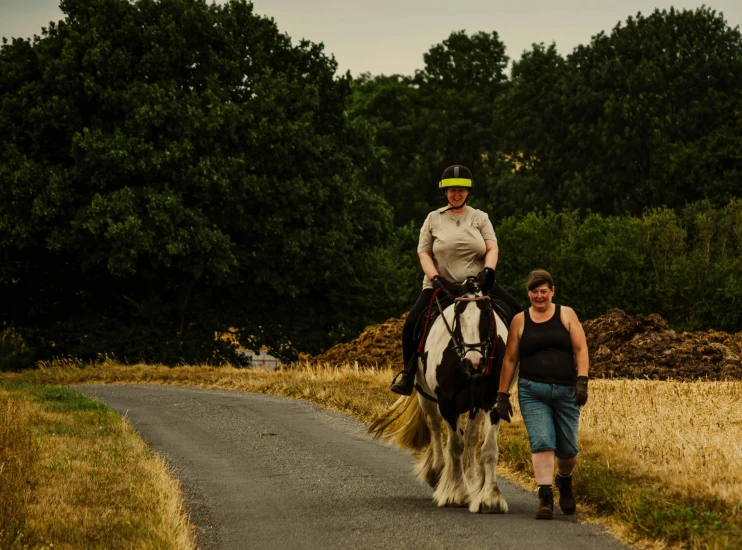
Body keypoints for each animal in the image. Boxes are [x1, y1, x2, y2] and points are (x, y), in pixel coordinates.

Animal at [368, 272, 516, 512]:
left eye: (486, 312)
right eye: (458, 314)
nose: (474, 362)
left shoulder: (492, 401)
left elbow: (488, 449)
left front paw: (490, 497)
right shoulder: (447, 403)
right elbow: (454, 445)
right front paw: (456, 492)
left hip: (475, 405)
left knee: (471, 437)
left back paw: (471, 478)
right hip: (425, 397)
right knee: (436, 427)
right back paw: (437, 472)